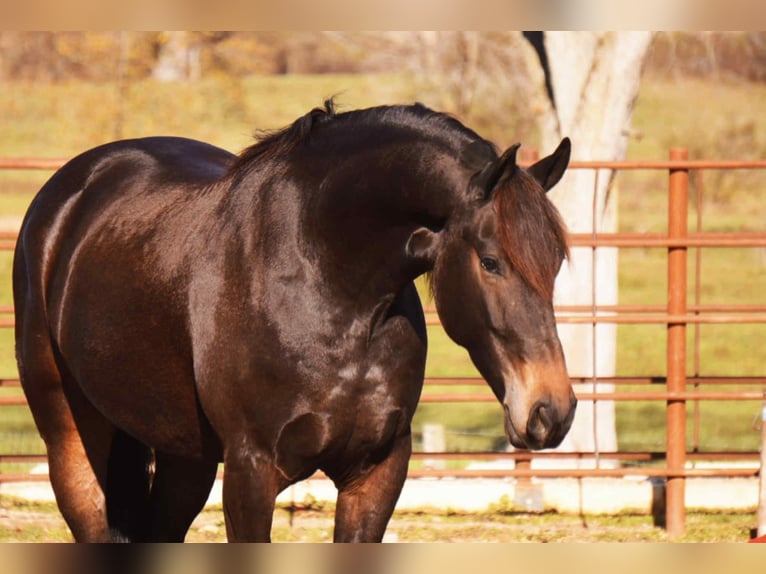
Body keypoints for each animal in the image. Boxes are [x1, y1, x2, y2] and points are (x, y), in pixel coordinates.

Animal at [13, 101, 576, 542]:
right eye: (491, 262)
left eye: (556, 264)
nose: (551, 411)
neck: (328, 286)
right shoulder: (251, 472)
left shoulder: (377, 472)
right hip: (70, 435)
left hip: (186, 455)